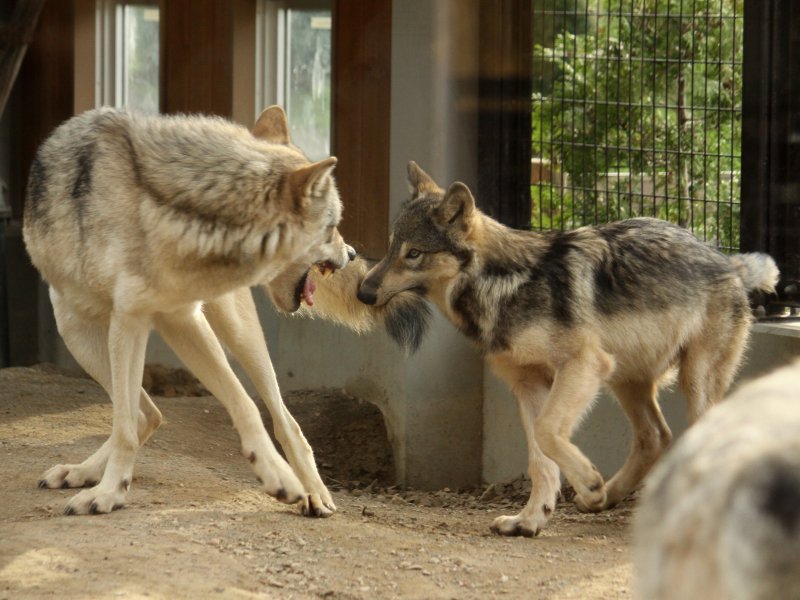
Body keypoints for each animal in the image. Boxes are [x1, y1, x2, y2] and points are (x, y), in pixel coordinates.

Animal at [22, 105, 356, 516]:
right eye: (333, 226)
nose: (353, 253)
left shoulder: (182, 318)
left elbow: (245, 403)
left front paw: (278, 477)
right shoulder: (133, 322)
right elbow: (124, 426)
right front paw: (109, 492)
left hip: (236, 333)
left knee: (283, 419)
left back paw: (315, 493)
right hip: (77, 333)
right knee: (144, 415)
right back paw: (83, 473)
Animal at [358, 162, 780, 536]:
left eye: (414, 253)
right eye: (392, 247)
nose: (363, 292)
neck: (504, 286)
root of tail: (728, 262)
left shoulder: (582, 365)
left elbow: (548, 433)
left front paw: (589, 484)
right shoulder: (529, 385)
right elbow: (540, 461)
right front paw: (530, 520)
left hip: (688, 383)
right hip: (625, 379)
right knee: (656, 436)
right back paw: (612, 497)